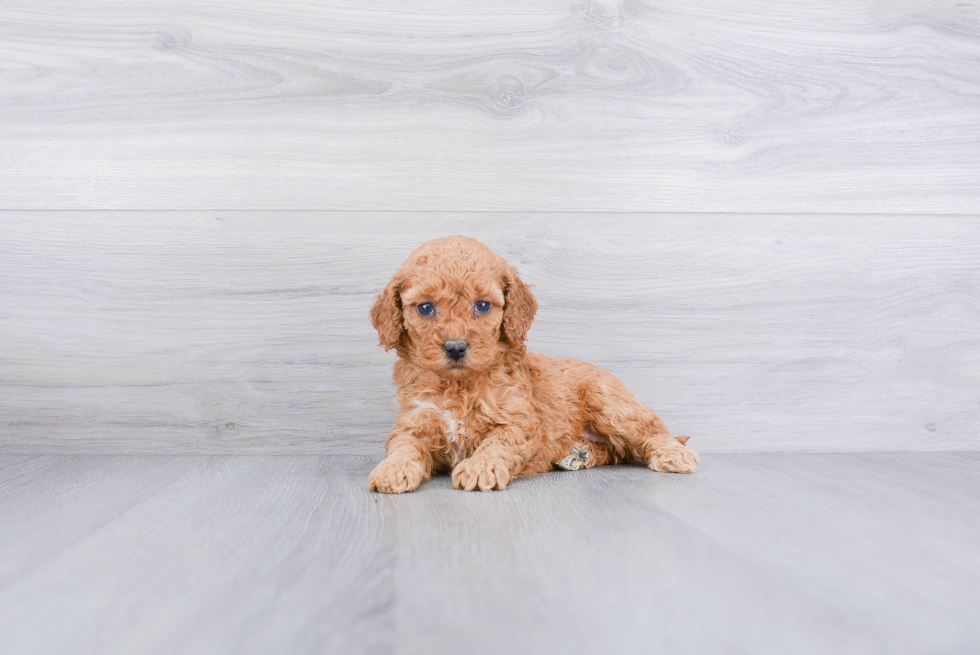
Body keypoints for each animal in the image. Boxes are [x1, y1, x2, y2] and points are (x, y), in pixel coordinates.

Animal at [368, 236, 696, 492]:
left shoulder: (518, 421)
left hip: (609, 402)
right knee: (618, 451)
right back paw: (579, 453)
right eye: (425, 307)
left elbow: (498, 442)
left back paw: (674, 455)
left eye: (482, 305)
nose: (456, 347)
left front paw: (480, 468)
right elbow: (403, 445)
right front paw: (392, 469)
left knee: (648, 432)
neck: (459, 384)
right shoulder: (415, 421)